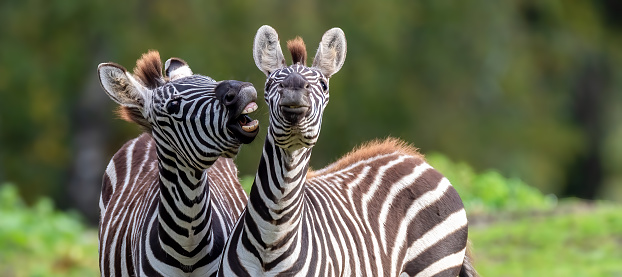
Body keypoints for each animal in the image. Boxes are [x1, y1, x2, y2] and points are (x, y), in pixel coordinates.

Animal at [217, 25, 480, 276]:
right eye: (270, 84)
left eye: (323, 86)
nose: (294, 91)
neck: (271, 239)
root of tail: (417, 159)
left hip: (435, 265)